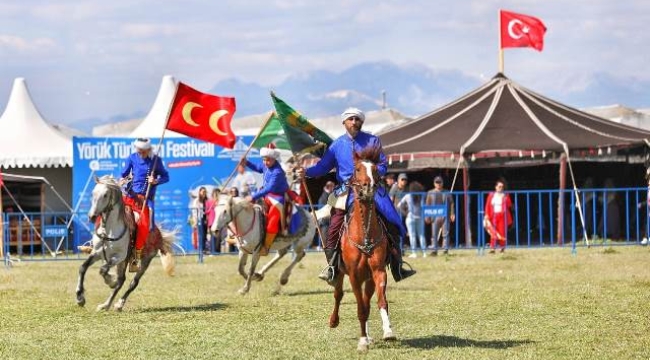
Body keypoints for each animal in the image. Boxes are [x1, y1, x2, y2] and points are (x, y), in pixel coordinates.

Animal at [75, 176, 175, 310]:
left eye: (105, 195)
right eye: (93, 193)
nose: (92, 216)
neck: (109, 230)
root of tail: (158, 233)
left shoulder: (119, 256)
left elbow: (103, 270)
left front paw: (110, 281)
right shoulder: (97, 253)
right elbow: (83, 268)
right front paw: (80, 297)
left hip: (144, 260)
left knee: (132, 282)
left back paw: (117, 303)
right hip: (123, 262)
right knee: (121, 280)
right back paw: (106, 304)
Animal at [326, 147, 392, 352]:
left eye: (375, 169)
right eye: (357, 169)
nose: (368, 187)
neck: (364, 234)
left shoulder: (377, 271)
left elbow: (380, 301)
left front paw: (388, 331)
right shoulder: (354, 275)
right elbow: (360, 308)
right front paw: (362, 341)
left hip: (368, 279)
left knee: (367, 300)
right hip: (340, 273)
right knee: (339, 295)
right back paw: (334, 321)